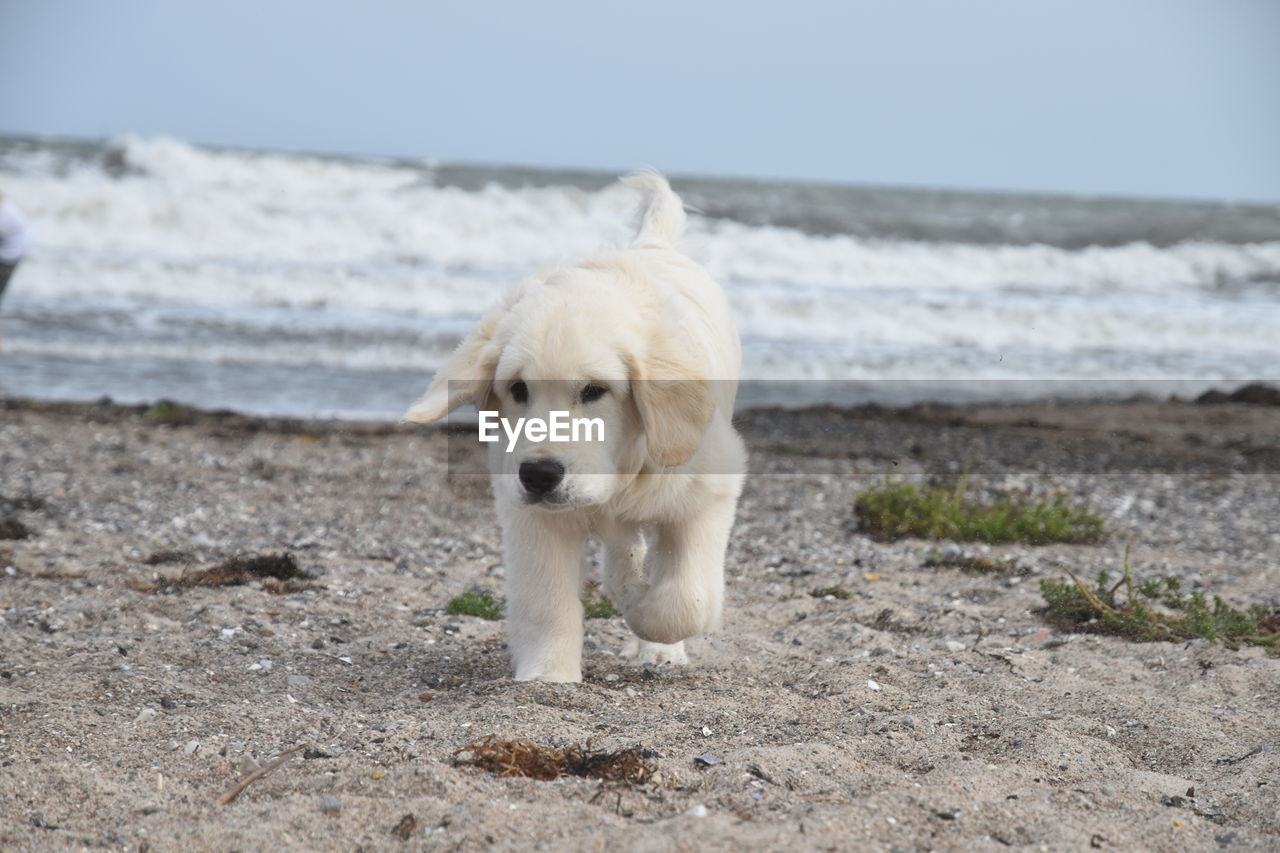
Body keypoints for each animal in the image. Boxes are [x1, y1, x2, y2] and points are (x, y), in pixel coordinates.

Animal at [404, 172, 747, 676]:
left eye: (594, 391)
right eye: (518, 389)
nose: (540, 476)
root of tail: (651, 242)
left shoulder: (708, 491)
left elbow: (684, 600)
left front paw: (647, 621)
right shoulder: (528, 511)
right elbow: (546, 601)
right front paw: (548, 675)